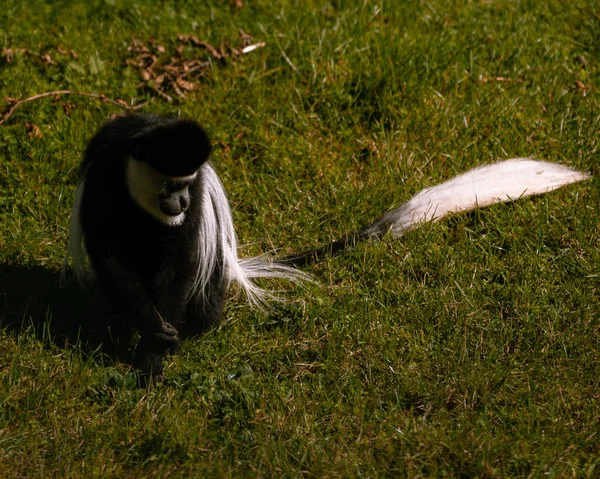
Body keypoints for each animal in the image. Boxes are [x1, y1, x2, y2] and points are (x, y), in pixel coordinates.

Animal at [63, 114, 588, 384]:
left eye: (186, 183)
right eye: (170, 183)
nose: (182, 200)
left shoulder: (188, 213)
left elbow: (182, 259)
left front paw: (155, 354)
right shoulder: (105, 181)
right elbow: (109, 253)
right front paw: (152, 335)